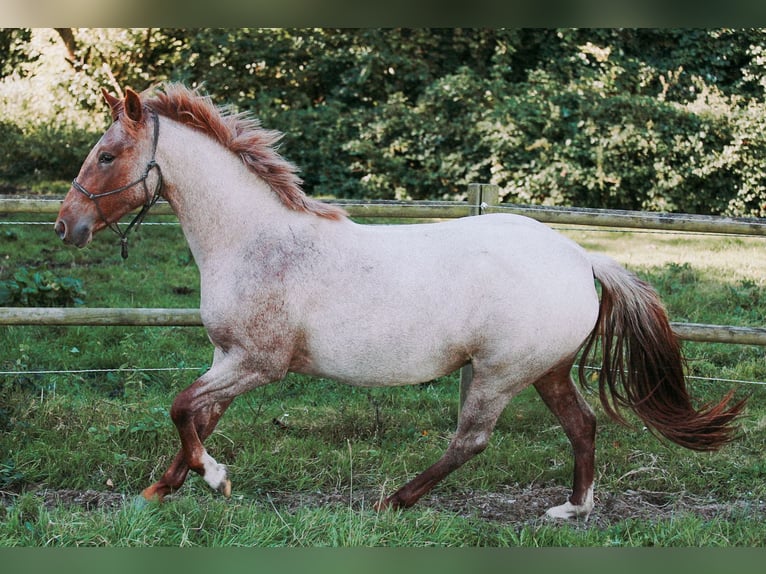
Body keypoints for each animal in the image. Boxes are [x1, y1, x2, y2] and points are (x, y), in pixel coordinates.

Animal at [55, 84, 752, 520]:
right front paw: (160, 490)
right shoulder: (228, 358)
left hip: (499, 374)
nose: (67, 226)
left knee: (471, 441)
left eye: (107, 154)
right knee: (582, 426)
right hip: (546, 370)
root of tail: (582, 259)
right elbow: (198, 419)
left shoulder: (258, 362)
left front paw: (215, 480)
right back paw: (572, 508)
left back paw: (394, 501)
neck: (258, 242)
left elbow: (181, 408)